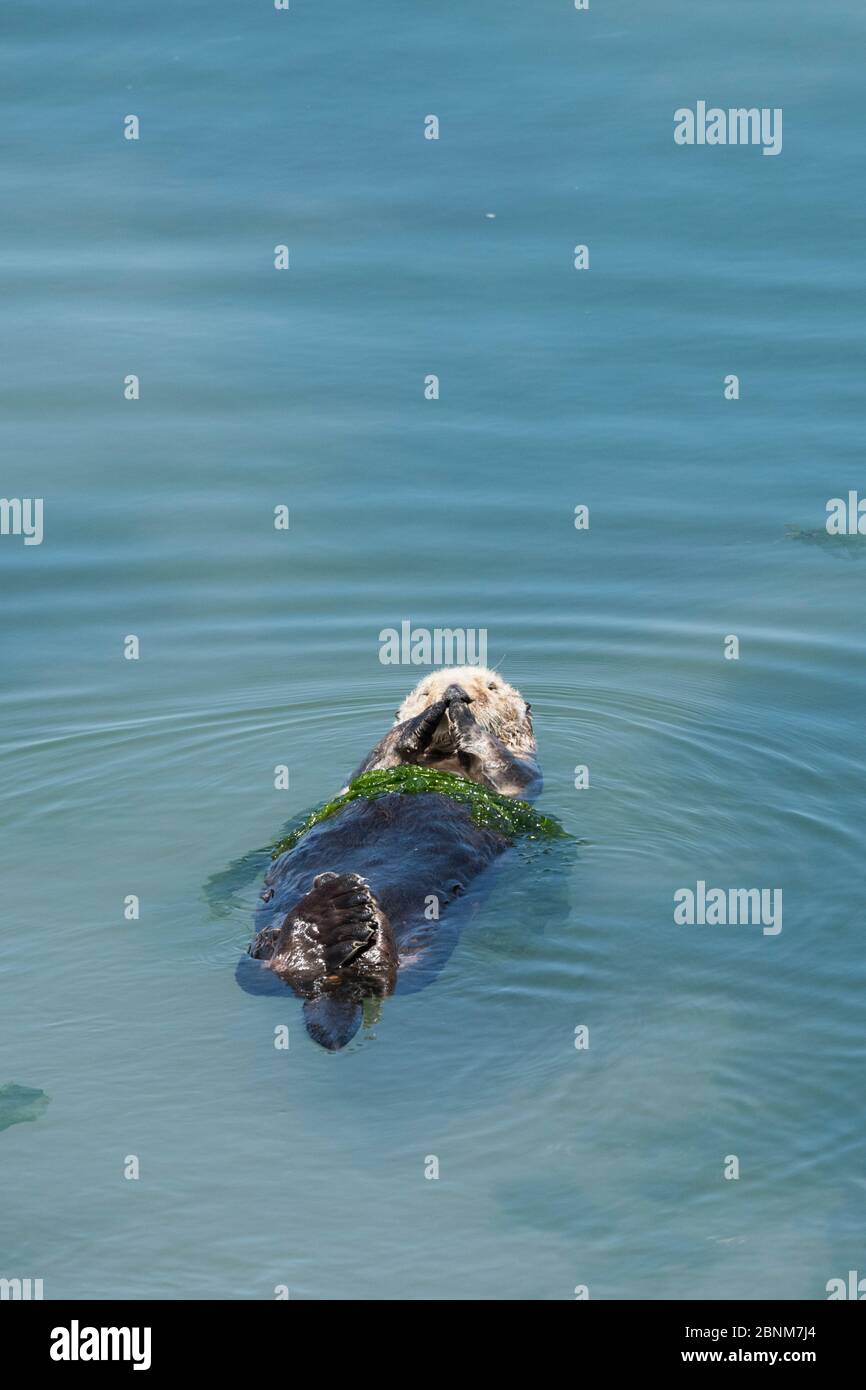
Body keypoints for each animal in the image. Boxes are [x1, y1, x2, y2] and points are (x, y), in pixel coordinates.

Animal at [246, 667, 542, 1045]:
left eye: (491, 688)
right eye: (427, 690)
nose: (456, 692)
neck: (443, 758)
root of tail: (328, 983)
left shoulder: (521, 777)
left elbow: (510, 770)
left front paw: (464, 719)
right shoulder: (372, 770)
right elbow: (381, 753)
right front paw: (426, 718)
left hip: (425, 951)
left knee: (388, 979)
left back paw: (337, 917)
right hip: (264, 942)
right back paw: (326, 920)